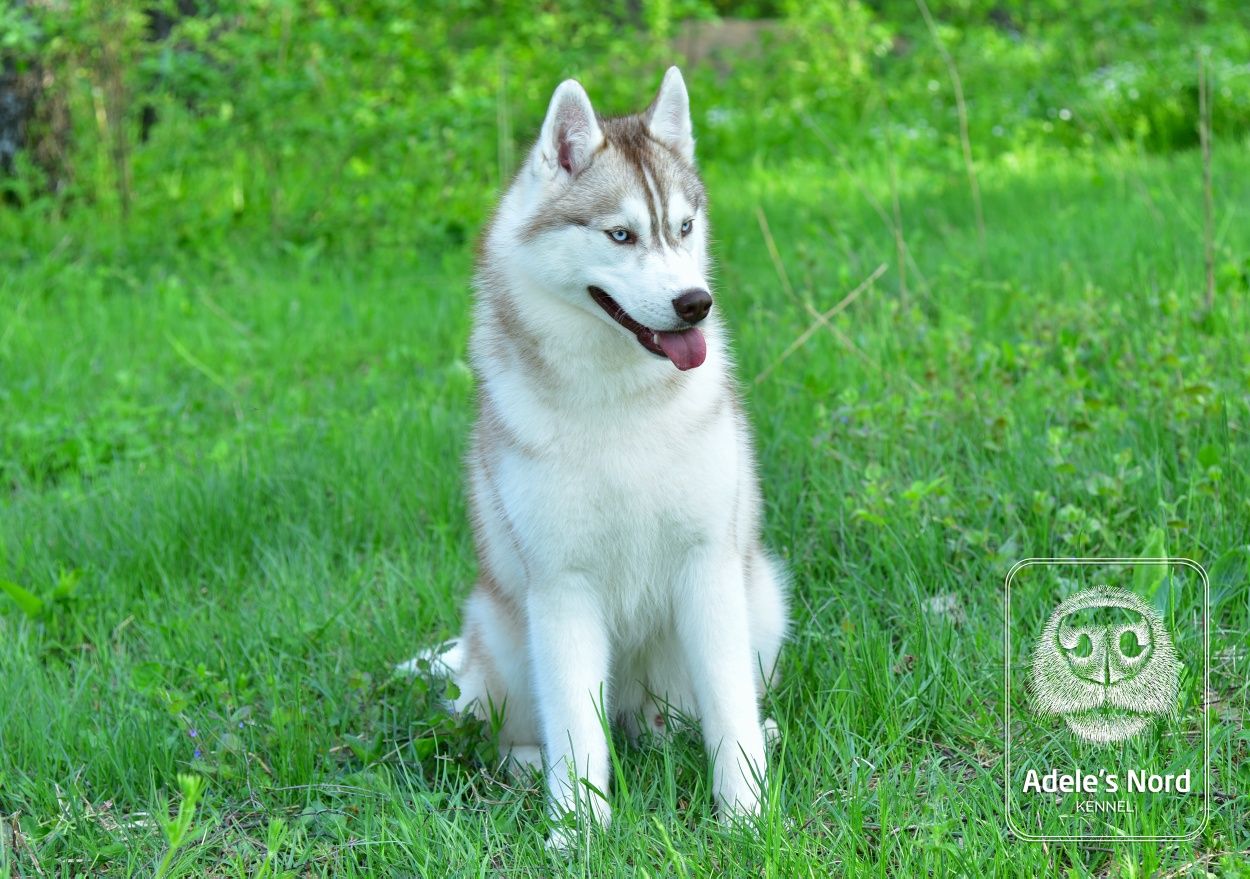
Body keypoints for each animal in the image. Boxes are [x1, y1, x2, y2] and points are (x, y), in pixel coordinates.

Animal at [420, 66, 790, 840]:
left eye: (684, 227)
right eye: (620, 234)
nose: (695, 302)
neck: (620, 401)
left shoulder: (710, 566)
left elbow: (728, 709)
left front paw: (745, 815)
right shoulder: (562, 587)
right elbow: (575, 729)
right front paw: (578, 833)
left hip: (761, 598)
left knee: (687, 715)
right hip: (501, 637)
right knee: (511, 732)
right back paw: (525, 767)